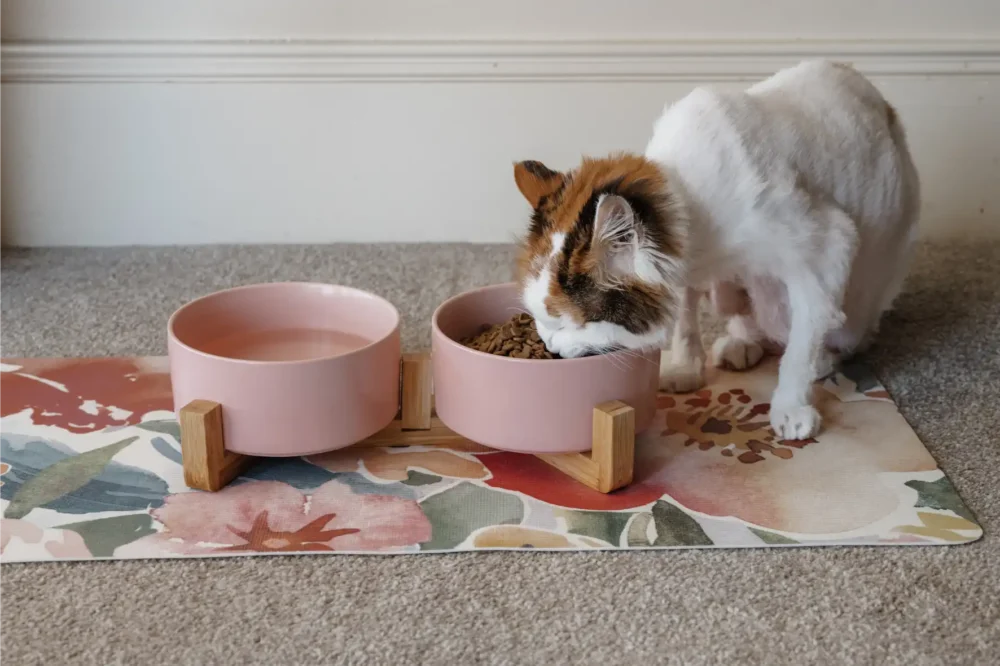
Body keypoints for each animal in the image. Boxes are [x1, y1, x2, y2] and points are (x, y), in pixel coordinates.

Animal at [516, 59, 920, 438]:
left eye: (567, 323)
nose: (549, 346)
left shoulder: (828, 245)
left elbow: (802, 342)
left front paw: (791, 407)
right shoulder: (684, 270)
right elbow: (684, 318)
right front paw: (684, 367)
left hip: (858, 302)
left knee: (829, 330)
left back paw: (821, 359)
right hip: (730, 291)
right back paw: (742, 343)